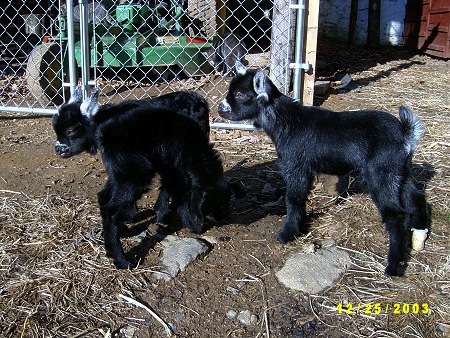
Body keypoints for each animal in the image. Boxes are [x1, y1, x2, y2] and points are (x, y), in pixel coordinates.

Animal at [51, 89, 232, 270]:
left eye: (71, 130)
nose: (58, 149)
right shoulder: (175, 164)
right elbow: (181, 190)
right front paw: (190, 223)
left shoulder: (163, 163)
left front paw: (161, 215)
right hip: (136, 172)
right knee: (111, 209)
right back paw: (122, 260)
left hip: (126, 169)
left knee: (104, 197)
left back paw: (125, 230)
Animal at [218, 62, 428, 276]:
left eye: (240, 94)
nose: (220, 108)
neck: (286, 121)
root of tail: (406, 133)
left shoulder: (296, 166)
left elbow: (293, 198)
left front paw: (288, 233)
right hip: (399, 171)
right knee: (416, 196)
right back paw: (419, 233)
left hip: (382, 173)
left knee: (395, 215)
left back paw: (393, 266)